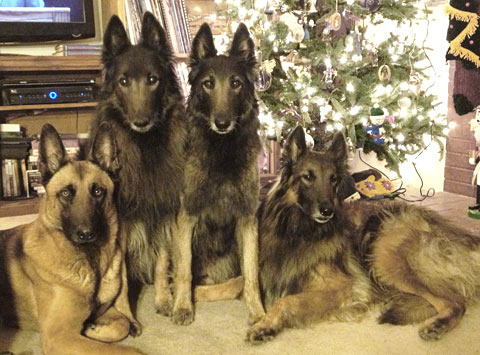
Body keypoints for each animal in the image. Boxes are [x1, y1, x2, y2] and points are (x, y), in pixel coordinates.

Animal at [0, 124, 142, 355]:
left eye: (98, 191)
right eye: (66, 193)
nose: (86, 234)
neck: (90, 262)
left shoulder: (104, 309)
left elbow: (123, 323)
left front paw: (94, 329)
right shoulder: (58, 335)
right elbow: (127, 349)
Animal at [249, 126, 480, 344]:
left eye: (333, 179)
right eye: (307, 177)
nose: (327, 211)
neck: (297, 229)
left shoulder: (342, 286)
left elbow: (287, 301)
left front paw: (265, 325)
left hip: (384, 252)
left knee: (456, 301)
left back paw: (437, 325)